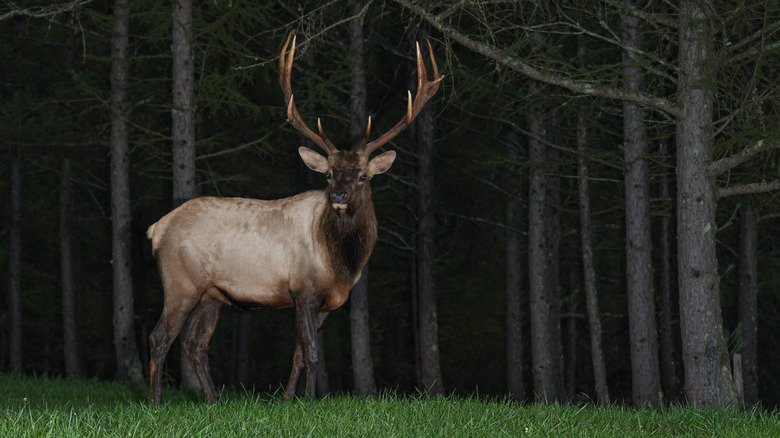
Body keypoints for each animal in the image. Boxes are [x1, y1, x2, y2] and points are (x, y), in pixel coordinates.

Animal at [146, 32, 442, 404]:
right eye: (328, 175)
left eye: (362, 176)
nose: (338, 196)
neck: (341, 263)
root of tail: (157, 228)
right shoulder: (303, 289)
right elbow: (312, 353)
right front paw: (312, 400)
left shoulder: (329, 302)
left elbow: (300, 353)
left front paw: (289, 400)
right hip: (181, 282)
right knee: (160, 338)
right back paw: (156, 403)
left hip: (212, 294)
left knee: (193, 344)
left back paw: (213, 401)